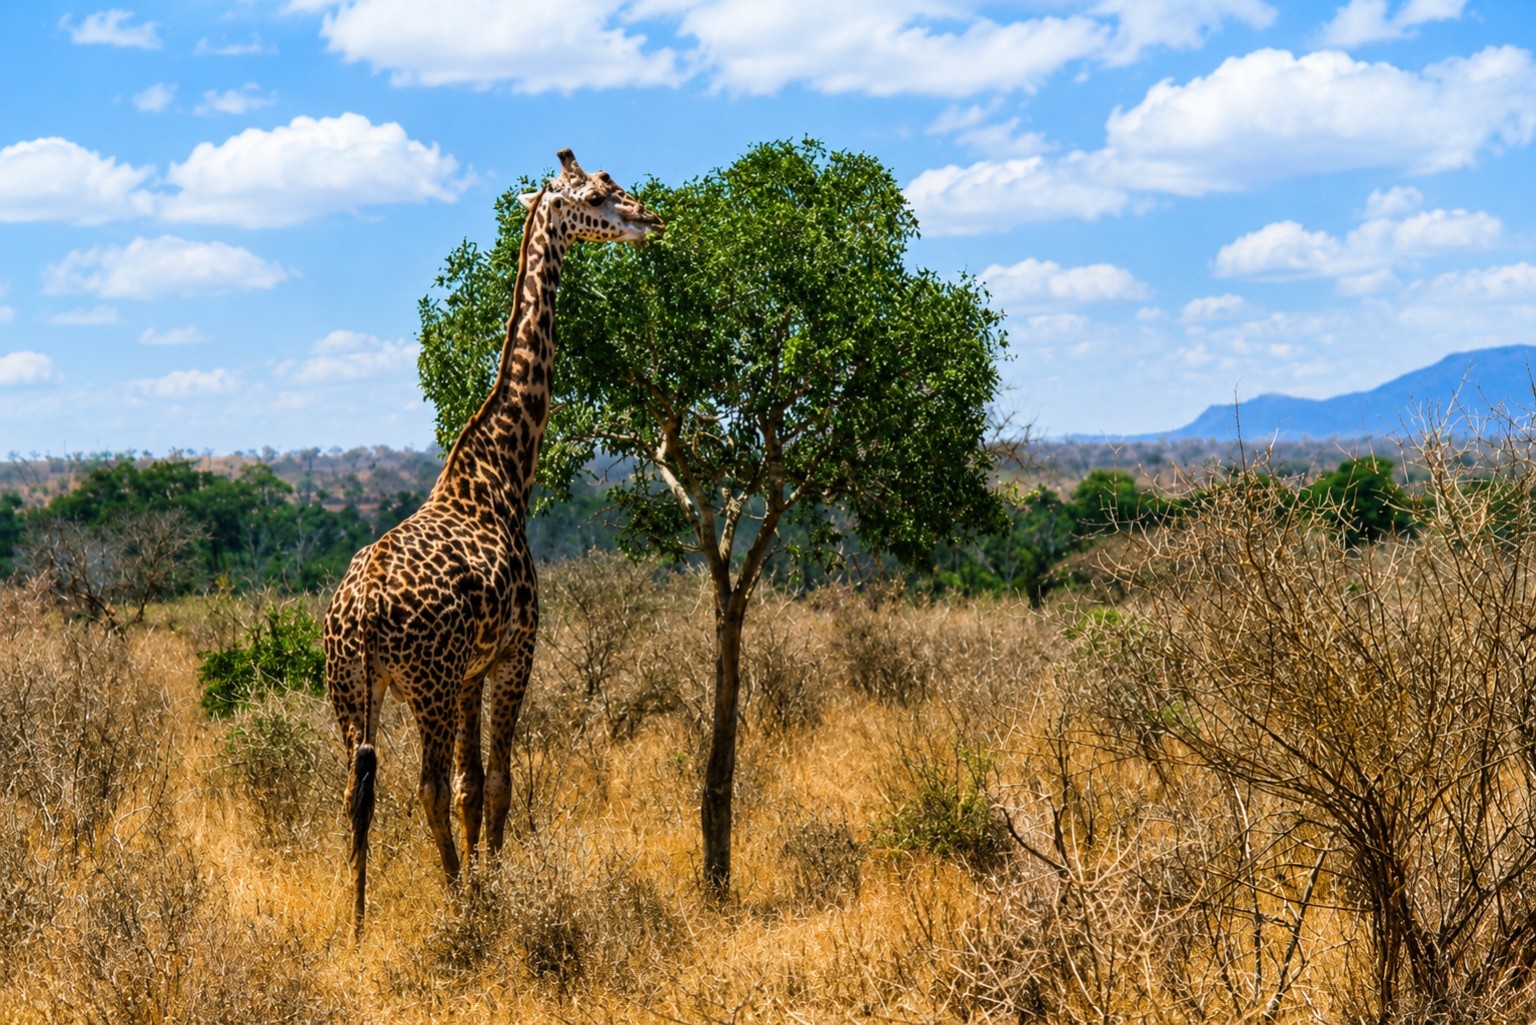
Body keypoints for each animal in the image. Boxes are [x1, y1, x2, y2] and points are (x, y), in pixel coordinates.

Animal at [324, 148, 663, 937]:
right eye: (598, 195)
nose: (651, 218)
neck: (505, 472)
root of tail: (360, 609)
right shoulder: (515, 653)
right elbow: (498, 781)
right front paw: (495, 892)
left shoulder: (473, 671)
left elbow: (471, 785)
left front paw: (486, 882)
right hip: (425, 683)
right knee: (418, 784)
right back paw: (452, 903)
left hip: (351, 687)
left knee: (356, 790)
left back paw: (354, 925)